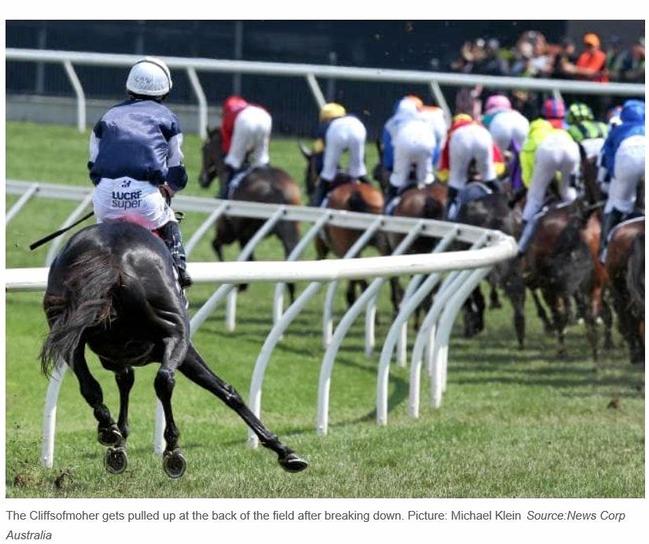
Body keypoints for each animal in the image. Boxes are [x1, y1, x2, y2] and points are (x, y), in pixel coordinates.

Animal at [40, 221, 308, 476]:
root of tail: (109, 256)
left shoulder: (119, 355)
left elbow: (124, 382)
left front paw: (118, 441)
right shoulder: (182, 349)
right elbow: (226, 390)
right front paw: (284, 450)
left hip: (66, 332)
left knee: (90, 386)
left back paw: (108, 428)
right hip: (174, 332)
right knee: (164, 380)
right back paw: (172, 450)